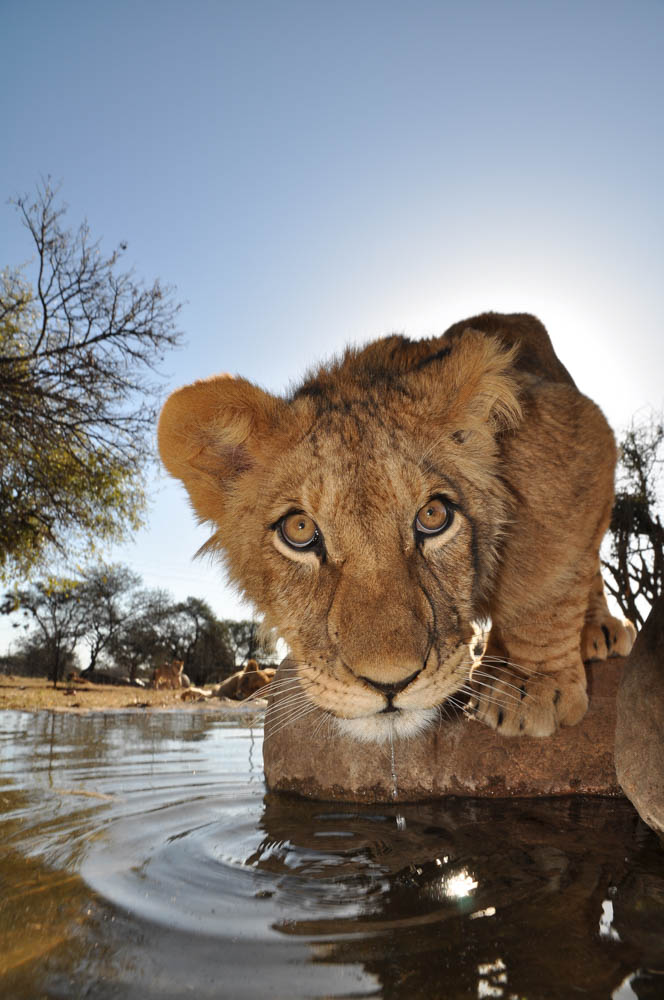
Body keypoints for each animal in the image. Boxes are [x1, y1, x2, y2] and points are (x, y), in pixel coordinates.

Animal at [157, 312, 635, 741]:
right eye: (300, 530)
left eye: (433, 516)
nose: (390, 684)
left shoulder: (578, 430)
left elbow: (543, 581)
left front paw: (527, 687)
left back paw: (599, 630)